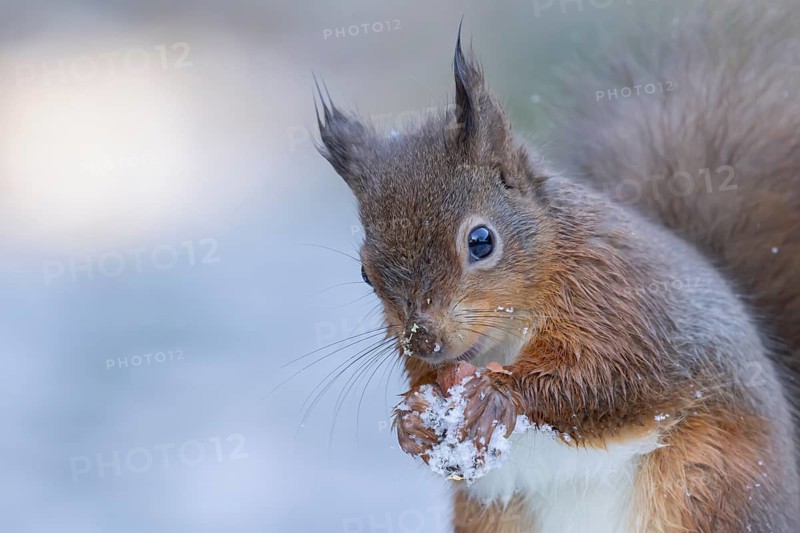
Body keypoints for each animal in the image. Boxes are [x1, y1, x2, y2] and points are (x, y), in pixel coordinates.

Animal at [315, 1, 800, 531]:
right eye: (365, 273)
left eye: (481, 241)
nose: (423, 338)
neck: (509, 331)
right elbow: (424, 381)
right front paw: (413, 420)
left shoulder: (623, 299)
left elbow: (609, 376)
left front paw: (498, 394)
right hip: (495, 514)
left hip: (705, 481)